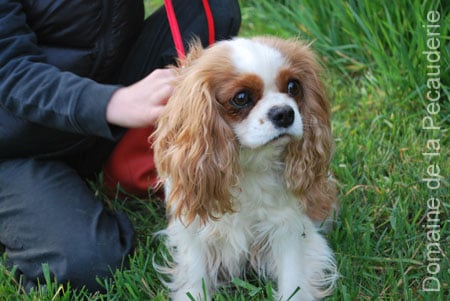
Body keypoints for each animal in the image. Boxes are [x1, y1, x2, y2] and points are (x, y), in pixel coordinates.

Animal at [152, 37, 338, 300]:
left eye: (293, 86)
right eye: (241, 98)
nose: (284, 113)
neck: (249, 163)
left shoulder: (287, 227)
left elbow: (292, 278)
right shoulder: (194, 228)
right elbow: (194, 274)